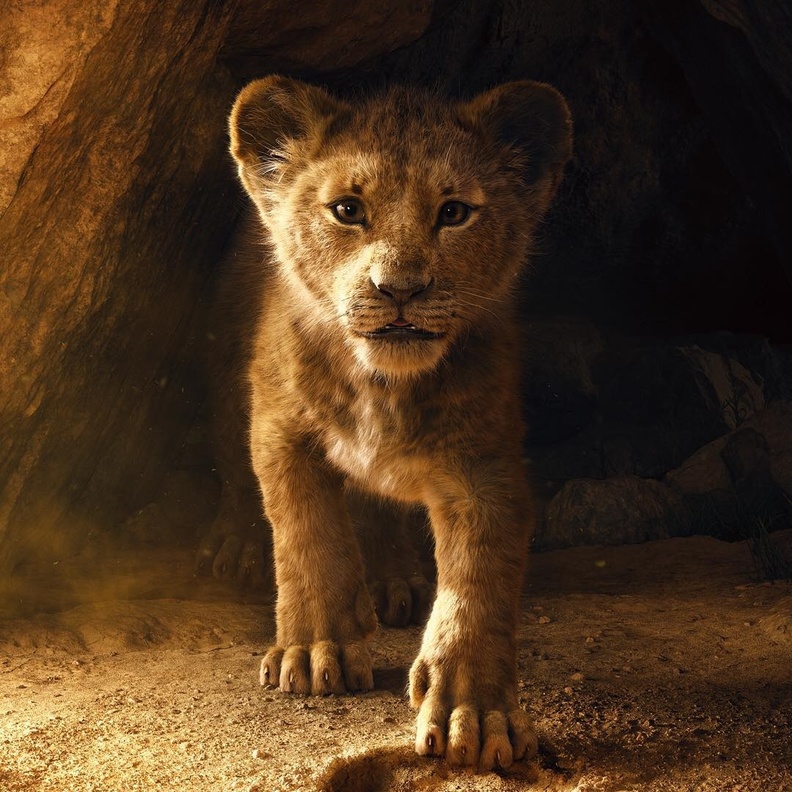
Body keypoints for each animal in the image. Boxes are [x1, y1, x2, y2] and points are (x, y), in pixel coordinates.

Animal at [211, 75, 572, 770]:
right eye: (348, 210)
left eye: (454, 213)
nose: (399, 289)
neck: (382, 384)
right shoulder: (280, 429)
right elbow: (308, 535)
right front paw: (315, 650)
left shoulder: (484, 465)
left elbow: (478, 582)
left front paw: (473, 711)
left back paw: (392, 579)